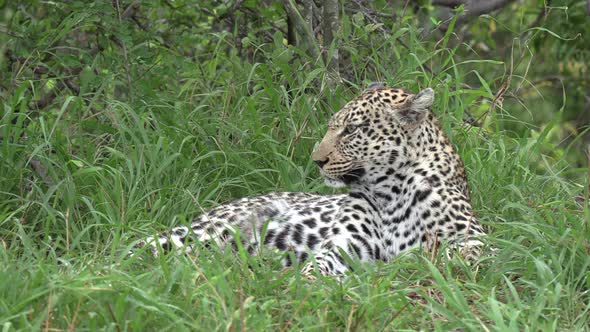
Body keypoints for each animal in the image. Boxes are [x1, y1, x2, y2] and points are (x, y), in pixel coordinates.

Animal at [136, 85, 488, 278]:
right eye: (333, 127)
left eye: (351, 130)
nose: (317, 160)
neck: (391, 191)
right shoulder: (343, 246)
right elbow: (316, 268)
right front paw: (303, 281)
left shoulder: (474, 241)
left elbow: (448, 257)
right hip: (204, 232)